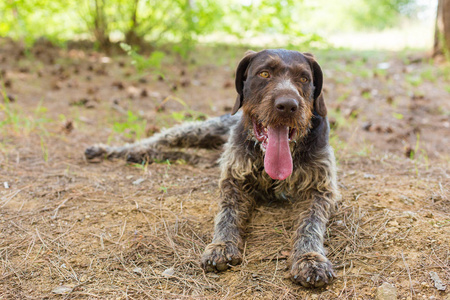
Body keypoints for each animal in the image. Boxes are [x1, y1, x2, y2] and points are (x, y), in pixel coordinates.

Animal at [85, 49, 338, 288]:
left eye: (304, 78)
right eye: (264, 74)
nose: (287, 106)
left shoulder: (319, 189)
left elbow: (310, 224)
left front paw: (310, 258)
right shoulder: (233, 180)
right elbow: (227, 214)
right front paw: (221, 245)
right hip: (197, 131)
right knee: (158, 140)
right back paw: (112, 150)